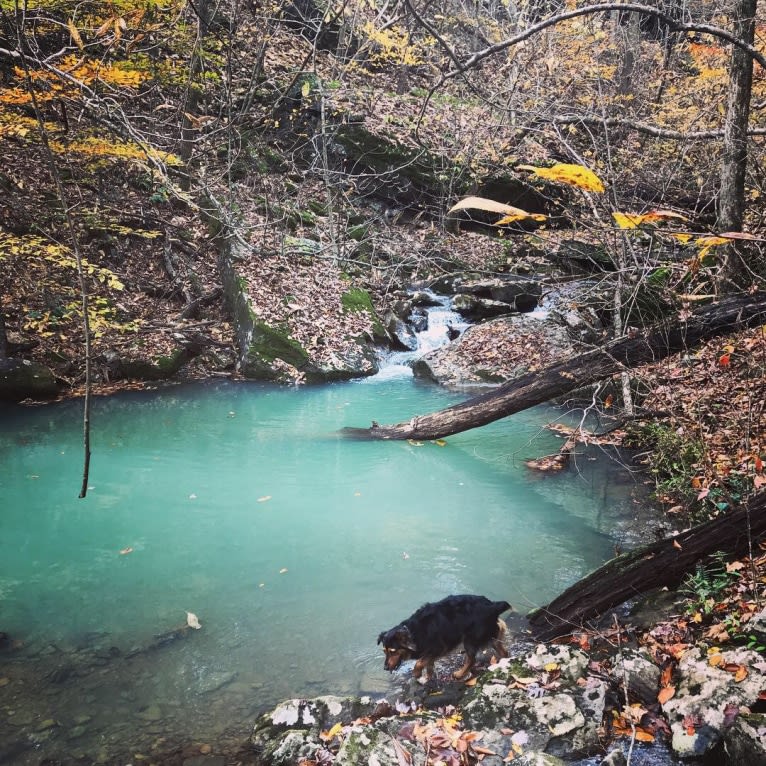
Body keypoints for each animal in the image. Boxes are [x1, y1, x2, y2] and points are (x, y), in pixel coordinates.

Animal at [376, 592, 510, 684]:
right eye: (384, 651)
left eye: (393, 651)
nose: (385, 668)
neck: (413, 633)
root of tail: (492, 605)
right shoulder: (430, 653)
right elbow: (428, 664)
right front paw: (428, 678)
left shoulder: (438, 648)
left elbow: (419, 663)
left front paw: (417, 674)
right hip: (490, 636)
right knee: (503, 650)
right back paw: (504, 663)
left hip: (470, 638)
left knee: (472, 659)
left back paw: (459, 674)